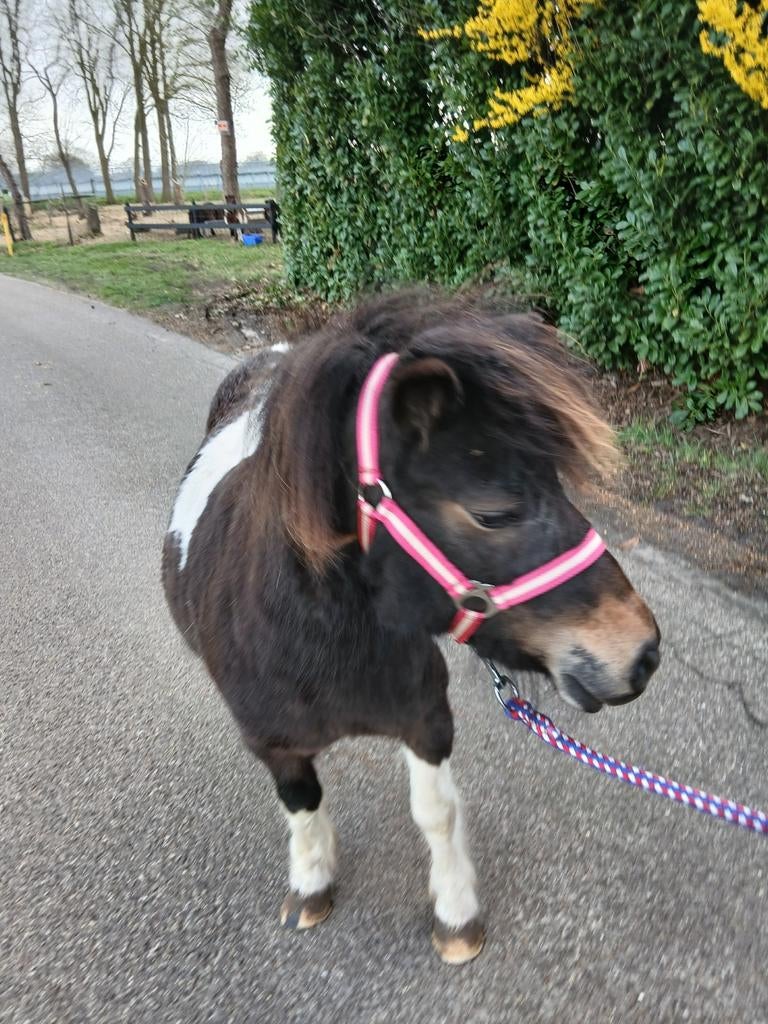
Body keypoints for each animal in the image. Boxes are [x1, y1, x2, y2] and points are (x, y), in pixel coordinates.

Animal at [162, 291, 661, 965]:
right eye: (491, 512)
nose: (641, 651)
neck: (319, 643)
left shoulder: (426, 719)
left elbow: (436, 812)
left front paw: (455, 913)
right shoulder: (271, 742)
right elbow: (301, 805)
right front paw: (311, 882)